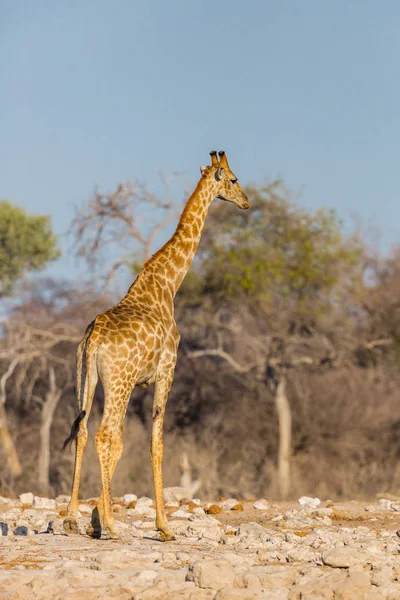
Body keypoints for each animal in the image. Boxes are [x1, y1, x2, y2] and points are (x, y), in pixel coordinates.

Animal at [62, 149, 250, 540]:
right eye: (234, 179)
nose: (246, 203)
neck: (167, 284)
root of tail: (93, 339)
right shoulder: (166, 370)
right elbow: (156, 443)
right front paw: (163, 526)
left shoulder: (140, 381)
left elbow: (128, 443)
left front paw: (94, 517)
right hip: (118, 383)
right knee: (106, 435)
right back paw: (112, 525)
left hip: (86, 380)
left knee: (84, 431)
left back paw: (72, 518)